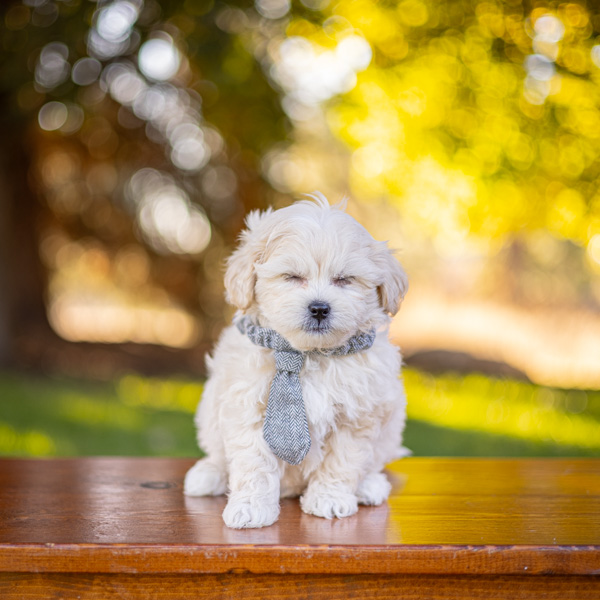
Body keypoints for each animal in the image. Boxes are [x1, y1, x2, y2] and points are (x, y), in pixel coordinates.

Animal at [183, 195, 408, 528]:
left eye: (344, 280)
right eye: (292, 277)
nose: (319, 308)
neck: (307, 354)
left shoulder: (357, 416)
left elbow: (342, 461)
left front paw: (329, 498)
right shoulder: (248, 408)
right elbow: (253, 463)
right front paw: (250, 507)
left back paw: (369, 486)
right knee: (219, 457)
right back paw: (208, 475)